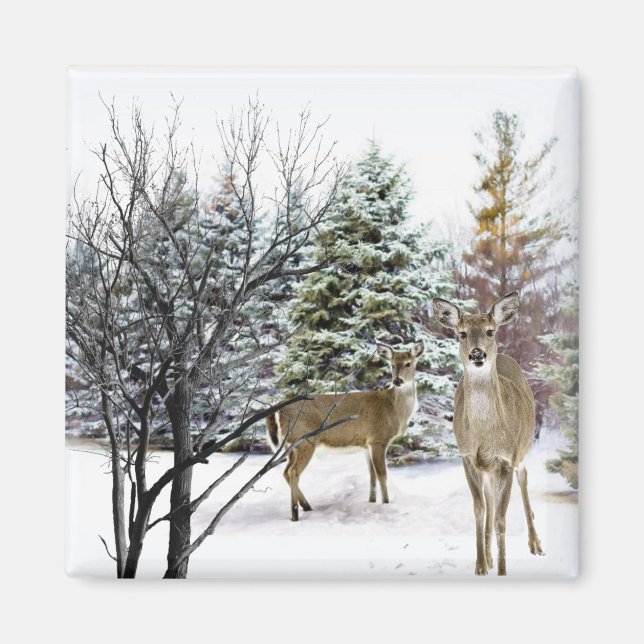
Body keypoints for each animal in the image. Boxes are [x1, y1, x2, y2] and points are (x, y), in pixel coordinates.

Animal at [266, 340, 425, 521]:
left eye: (408, 363)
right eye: (391, 364)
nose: (398, 380)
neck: (393, 408)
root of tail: (280, 409)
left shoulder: (366, 444)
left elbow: (371, 475)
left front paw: (371, 501)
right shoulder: (378, 439)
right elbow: (382, 475)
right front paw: (386, 503)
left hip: (292, 445)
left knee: (286, 472)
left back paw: (307, 507)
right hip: (305, 440)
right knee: (293, 472)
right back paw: (295, 515)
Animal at [431, 292, 543, 575]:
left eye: (490, 331)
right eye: (461, 333)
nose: (477, 353)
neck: (485, 435)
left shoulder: (506, 458)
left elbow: (502, 519)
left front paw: (502, 571)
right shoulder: (468, 457)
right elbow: (480, 510)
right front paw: (481, 565)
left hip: (521, 449)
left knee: (524, 479)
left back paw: (535, 543)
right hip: (488, 469)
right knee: (490, 502)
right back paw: (490, 555)